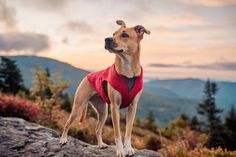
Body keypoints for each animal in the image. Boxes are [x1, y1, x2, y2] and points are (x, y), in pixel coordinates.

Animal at [60, 20, 150, 156]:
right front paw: (120, 150)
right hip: (78, 107)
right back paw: (63, 139)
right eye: (114, 33)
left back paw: (101, 144)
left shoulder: (133, 107)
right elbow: (117, 133)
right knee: (66, 123)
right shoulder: (115, 107)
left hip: (103, 111)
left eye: (125, 35)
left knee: (97, 129)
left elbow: (128, 132)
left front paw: (128, 148)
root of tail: (87, 76)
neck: (128, 71)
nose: (107, 39)